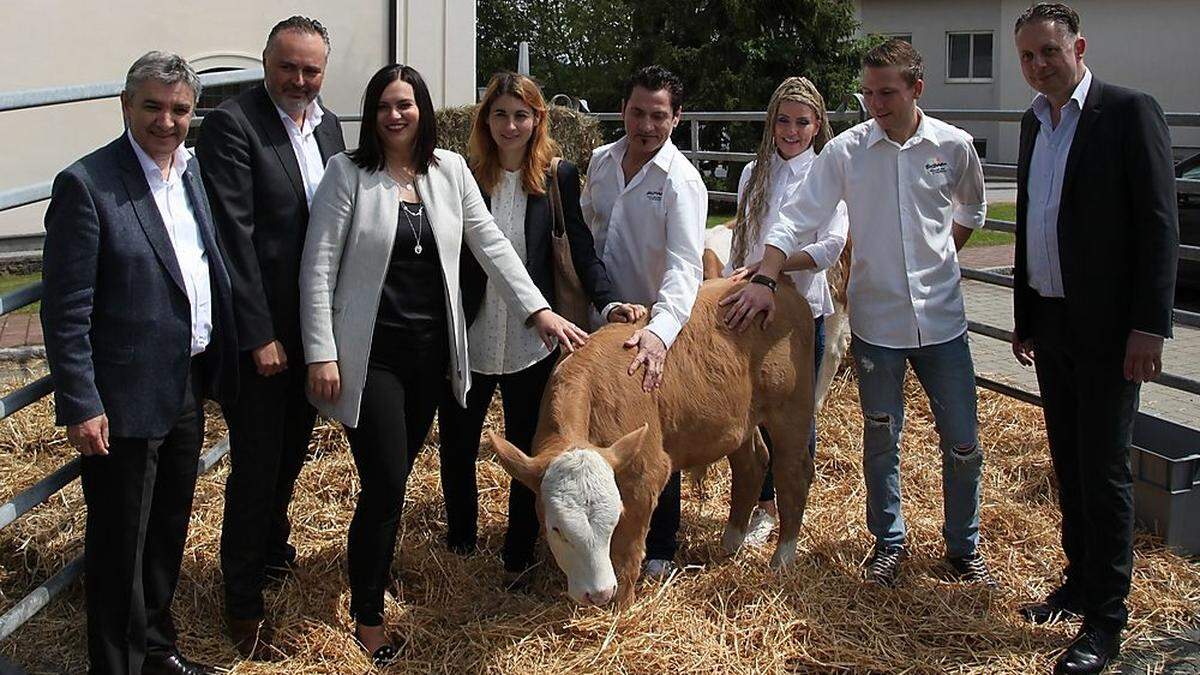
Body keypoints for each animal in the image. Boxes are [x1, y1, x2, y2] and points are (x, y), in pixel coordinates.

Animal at [487, 275, 816, 605]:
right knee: (751, 465)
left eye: (613, 520)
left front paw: (622, 607)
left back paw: (782, 559)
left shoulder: (645, 474)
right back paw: (730, 545)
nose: (598, 593)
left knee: (793, 475)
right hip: (739, 420)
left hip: (792, 410)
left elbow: (627, 553)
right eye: (556, 528)